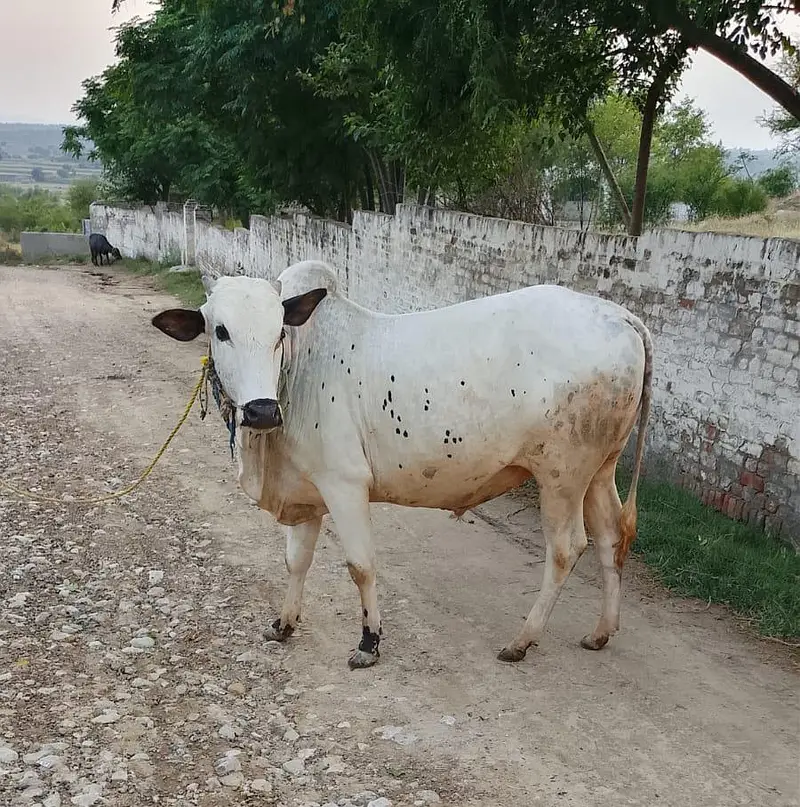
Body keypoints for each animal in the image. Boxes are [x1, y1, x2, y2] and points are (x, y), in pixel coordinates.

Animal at [152, 260, 653, 670]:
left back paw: (522, 640)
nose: (260, 411)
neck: (296, 372)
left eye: (278, 332)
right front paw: (284, 623)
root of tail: (622, 317)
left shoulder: (345, 485)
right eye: (220, 331)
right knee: (611, 537)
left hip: (562, 476)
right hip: (599, 471)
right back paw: (601, 631)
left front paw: (369, 642)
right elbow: (297, 561)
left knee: (567, 548)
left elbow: (360, 565)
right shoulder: (306, 490)